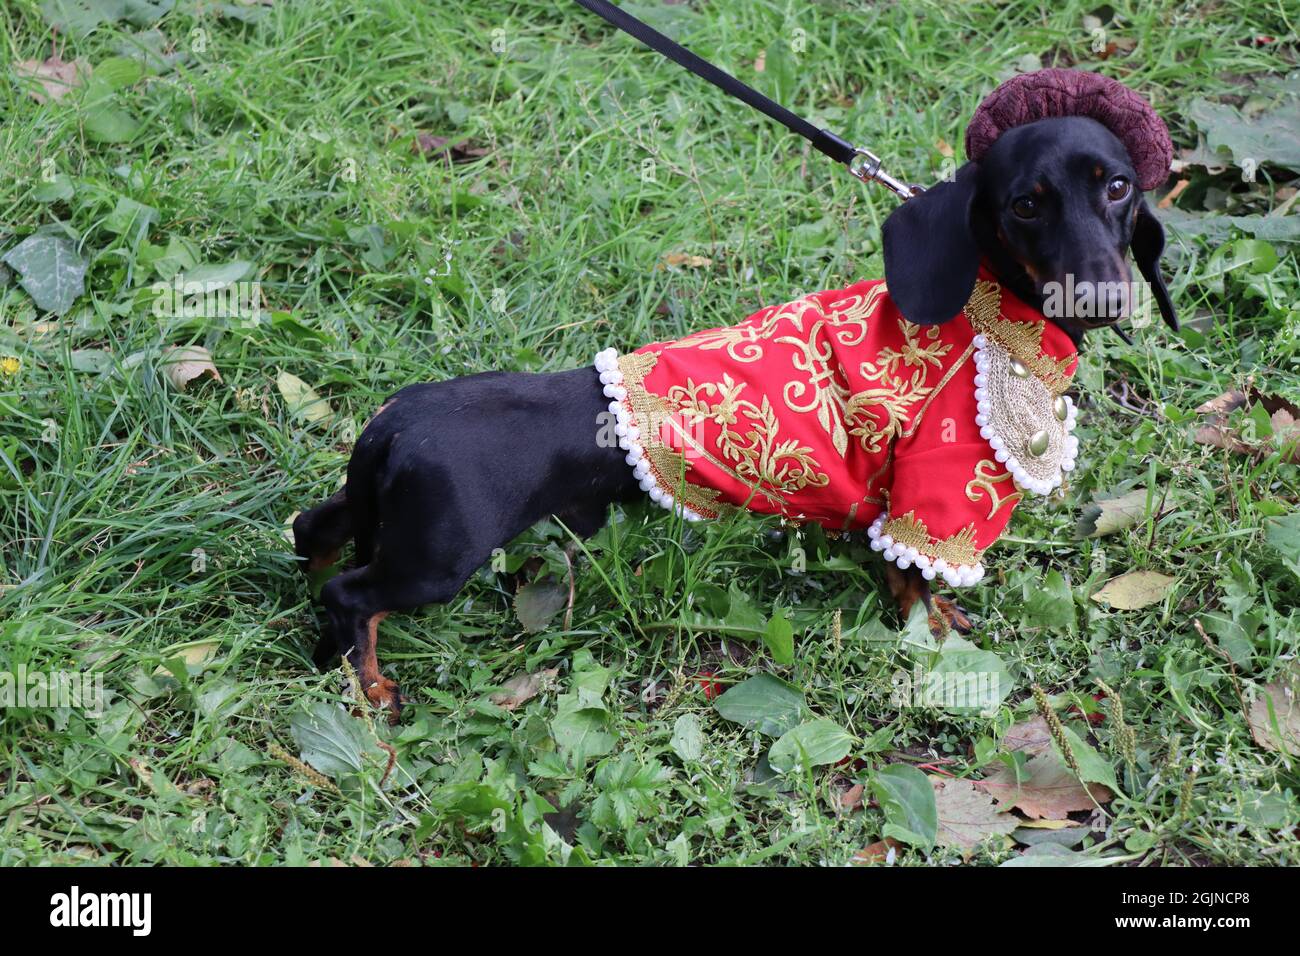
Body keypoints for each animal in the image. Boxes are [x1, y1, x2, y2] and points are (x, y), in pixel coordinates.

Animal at [295, 115, 1180, 717]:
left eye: (1118, 186)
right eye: (1026, 203)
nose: (1102, 296)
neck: (987, 319)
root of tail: (394, 424)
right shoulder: (935, 497)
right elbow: (917, 577)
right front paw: (935, 632)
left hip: (375, 517)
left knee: (314, 535)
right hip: (434, 560)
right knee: (351, 595)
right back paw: (370, 684)